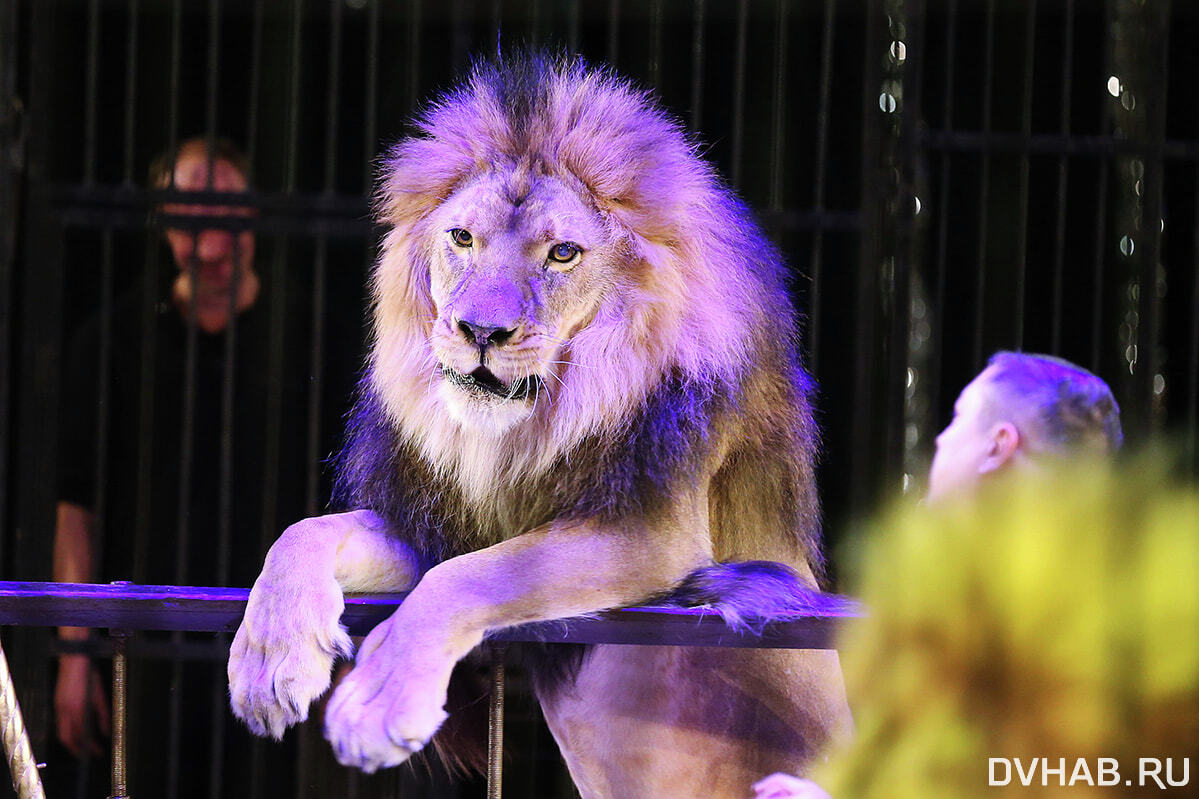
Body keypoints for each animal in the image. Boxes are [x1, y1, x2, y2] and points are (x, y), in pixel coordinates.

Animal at [229, 52, 853, 791]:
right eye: (462, 238)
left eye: (562, 253)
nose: (480, 331)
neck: (526, 432)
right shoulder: (439, 527)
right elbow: (305, 534)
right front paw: (268, 662)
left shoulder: (652, 533)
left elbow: (466, 579)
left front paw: (378, 702)